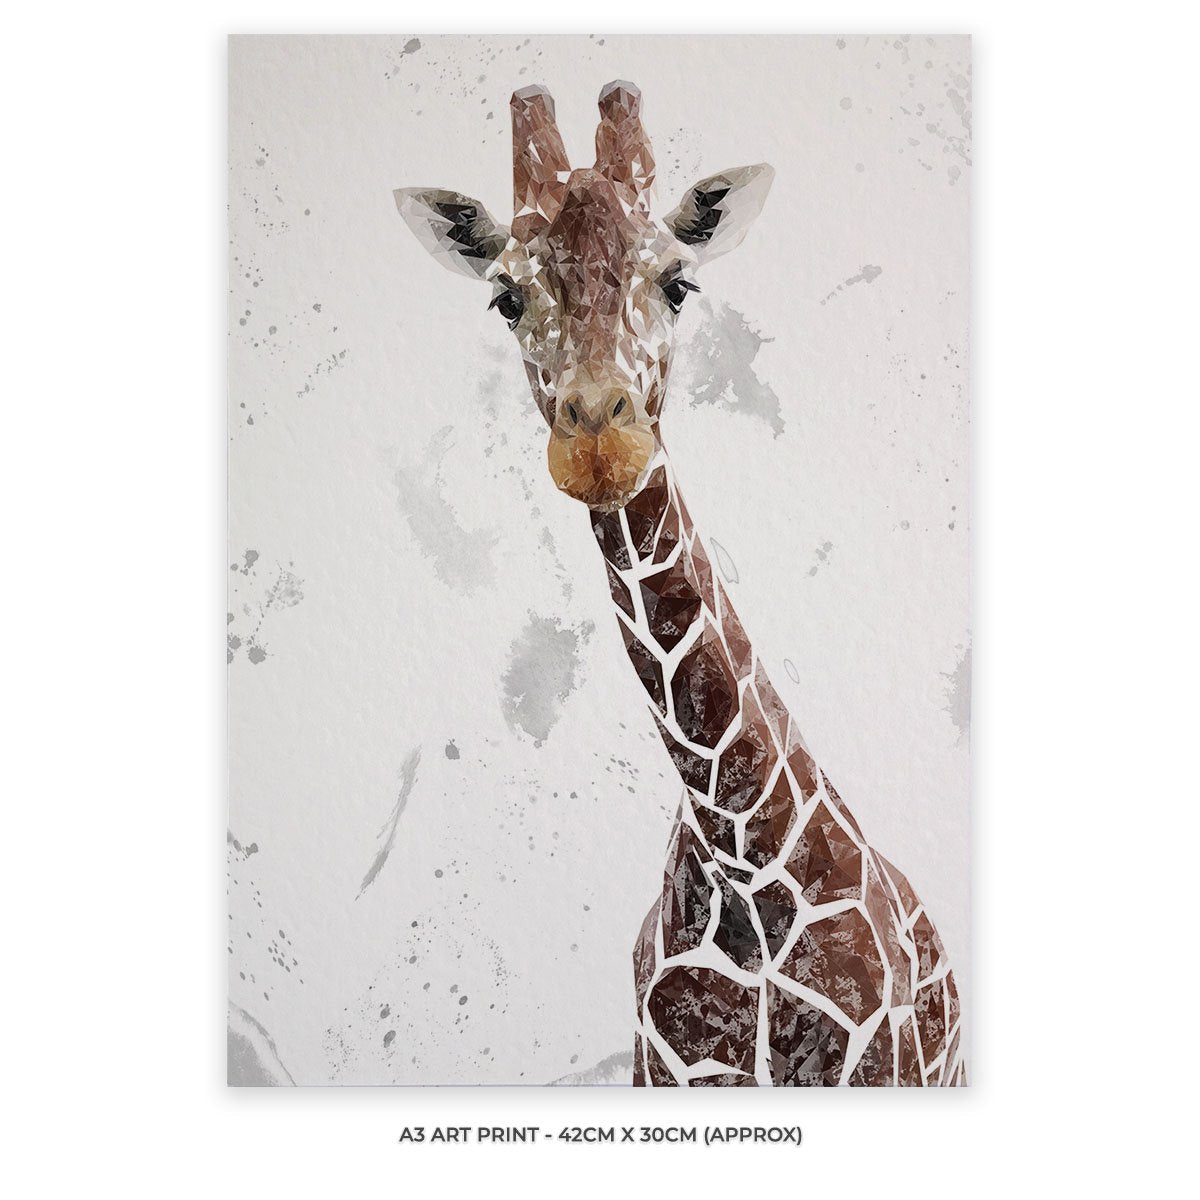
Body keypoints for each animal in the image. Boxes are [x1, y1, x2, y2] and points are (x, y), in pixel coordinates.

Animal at [395, 81, 966, 1087]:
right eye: (506, 297)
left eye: (678, 283)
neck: (742, 858)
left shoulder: (880, 1067)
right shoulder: (663, 1072)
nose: (597, 440)